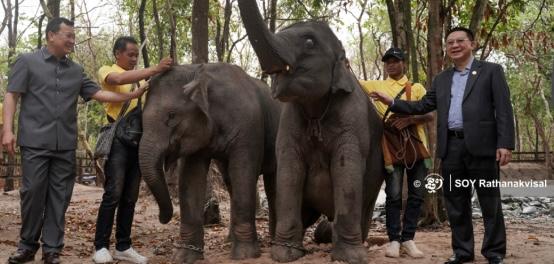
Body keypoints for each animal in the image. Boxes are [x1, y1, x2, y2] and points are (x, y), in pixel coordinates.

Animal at [136, 63, 278, 262]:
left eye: (171, 115)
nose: (161, 218)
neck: (199, 72)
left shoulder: (249, 127)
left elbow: (243, 171)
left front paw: (245, 255)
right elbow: (191, 178)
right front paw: (184, 257)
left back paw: (272, 241)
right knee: (230, 182)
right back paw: (230, 241)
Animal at [236, 1, 384, 262]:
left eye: (308, 42)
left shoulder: (353, 118)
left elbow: (347, 169)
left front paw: (349, 257)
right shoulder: (289, 119)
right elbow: (289, 170)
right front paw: (285, 253)